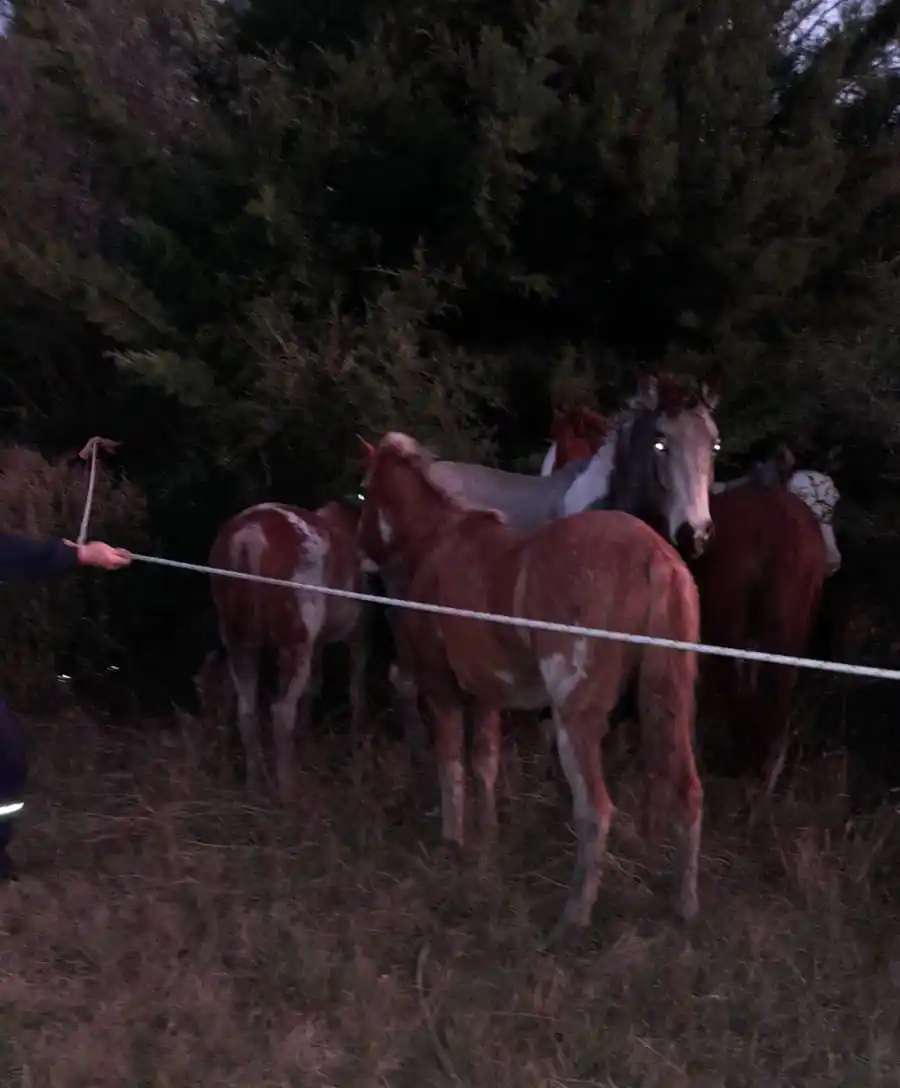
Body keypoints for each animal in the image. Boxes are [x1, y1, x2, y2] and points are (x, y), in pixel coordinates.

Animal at [207, 500, 368, 802]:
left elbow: (315, 686)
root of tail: (248, 538)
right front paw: (358, 748)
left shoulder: (320, 642)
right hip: (296, 632)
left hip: (238, 636)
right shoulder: (360, 631)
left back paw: (254, 786)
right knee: (281, 710)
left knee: (247, 709)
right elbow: (355, 690)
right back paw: (288, 792)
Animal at [358, 431, 704, 940]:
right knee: (688, 792)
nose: (360, 553)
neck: (439, 541)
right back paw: (683, 905)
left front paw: (453, 841)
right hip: (671, 700)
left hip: (575, 717)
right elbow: (485, 763)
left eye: (363, 492)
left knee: (596, 808)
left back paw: (574, 915)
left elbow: (451, 764)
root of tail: (656, 558)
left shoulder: (443, 691)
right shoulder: (486, 696)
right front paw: (487, 837)